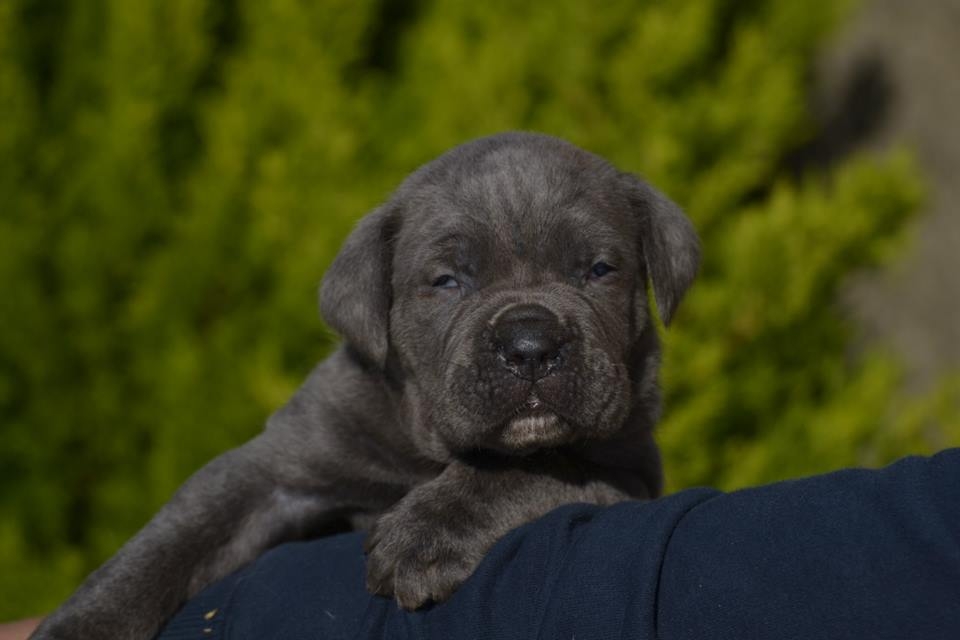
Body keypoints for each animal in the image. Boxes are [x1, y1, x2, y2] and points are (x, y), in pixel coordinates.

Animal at [33, 132, 700, 636]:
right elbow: (169, 541)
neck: (427, 448)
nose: (530, 345)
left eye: (599, 270)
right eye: (447, 281)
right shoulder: (276, 469)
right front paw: (83, 624)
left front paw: (429, 530)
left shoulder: (628, 474)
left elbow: (535, 467)